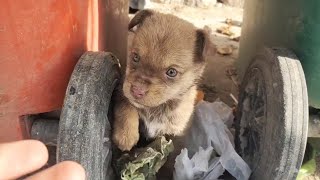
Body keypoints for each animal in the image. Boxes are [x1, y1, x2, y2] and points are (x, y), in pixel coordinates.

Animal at [112, 9, 212, 151]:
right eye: (135, 57)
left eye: (171, 72)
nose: (137, 90)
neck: (157, 108)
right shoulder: (121, 89)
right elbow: (126, 106)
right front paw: (125, 135)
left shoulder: (176, 134)